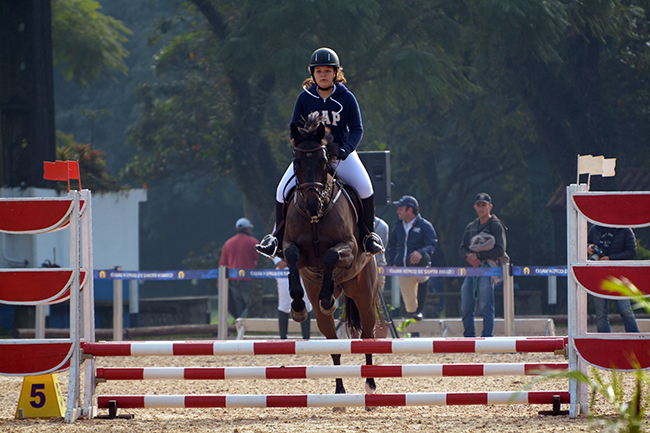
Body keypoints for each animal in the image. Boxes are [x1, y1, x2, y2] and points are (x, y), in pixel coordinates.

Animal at [283, 116, 380, 398]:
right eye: (296, 161)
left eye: (323, 162)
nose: (312, 204)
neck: (316, 217)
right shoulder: (293, 248)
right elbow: (292, 255)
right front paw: (297, 304)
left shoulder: (348, 248)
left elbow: (329, 255)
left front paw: (326, 297)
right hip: (325, 315)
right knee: (333, 343)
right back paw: (339, 390)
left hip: (365, 297)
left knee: (367, 336)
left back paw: (370, 386)